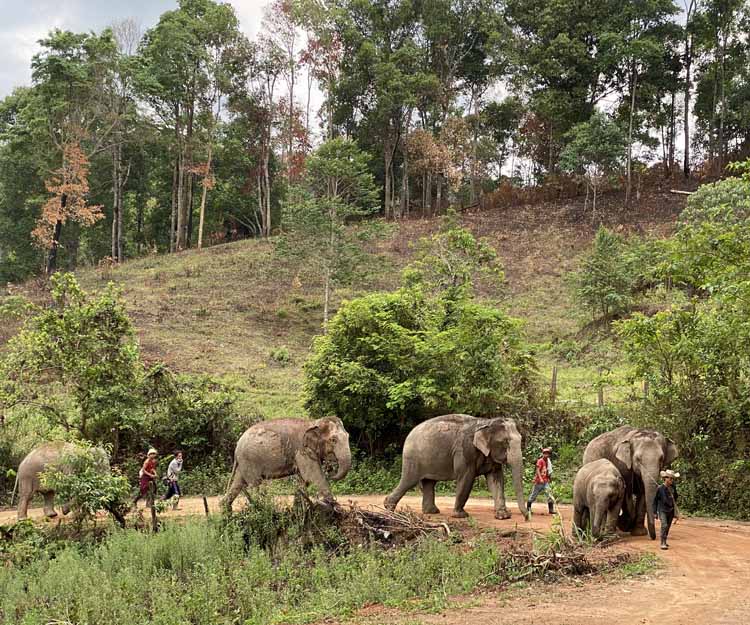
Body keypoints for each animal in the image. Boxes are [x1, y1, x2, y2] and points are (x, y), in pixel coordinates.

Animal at [223, 414, 352, 512]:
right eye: (333, 440)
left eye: (348, 436)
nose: (331, 473)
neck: (313, 422)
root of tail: (236, 447)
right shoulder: (302, 450)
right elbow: (313, 476)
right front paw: (337, 507)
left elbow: (303, 479)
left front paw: (298, 509)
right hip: (249, 460)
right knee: (255, 483)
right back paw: (261, 509)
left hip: (244, 462)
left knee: (238, 483)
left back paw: (226, 511)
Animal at [382, 412, 528, 520]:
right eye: (505, 442)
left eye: (521, 439)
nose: (527, 517)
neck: (485, 422)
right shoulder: (465, 451)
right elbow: (466, 478)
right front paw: (461, 515)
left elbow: (496, 479)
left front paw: (503, 516)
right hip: (413, 458)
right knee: (409, 481)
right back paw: (388, 507)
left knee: (429, 483)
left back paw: (432, 512)